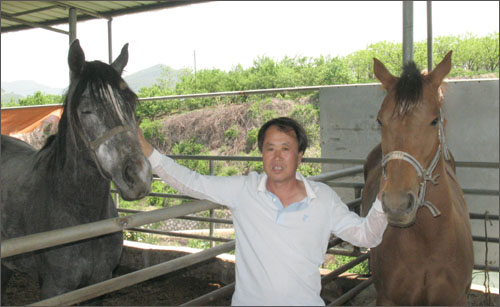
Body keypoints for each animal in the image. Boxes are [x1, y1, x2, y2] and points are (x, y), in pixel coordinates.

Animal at [364, 51, 472, 306]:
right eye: (380, 121)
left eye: (434, 121)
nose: (397, 204)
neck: (427, 243)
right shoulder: (387, 299)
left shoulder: (457, 299)